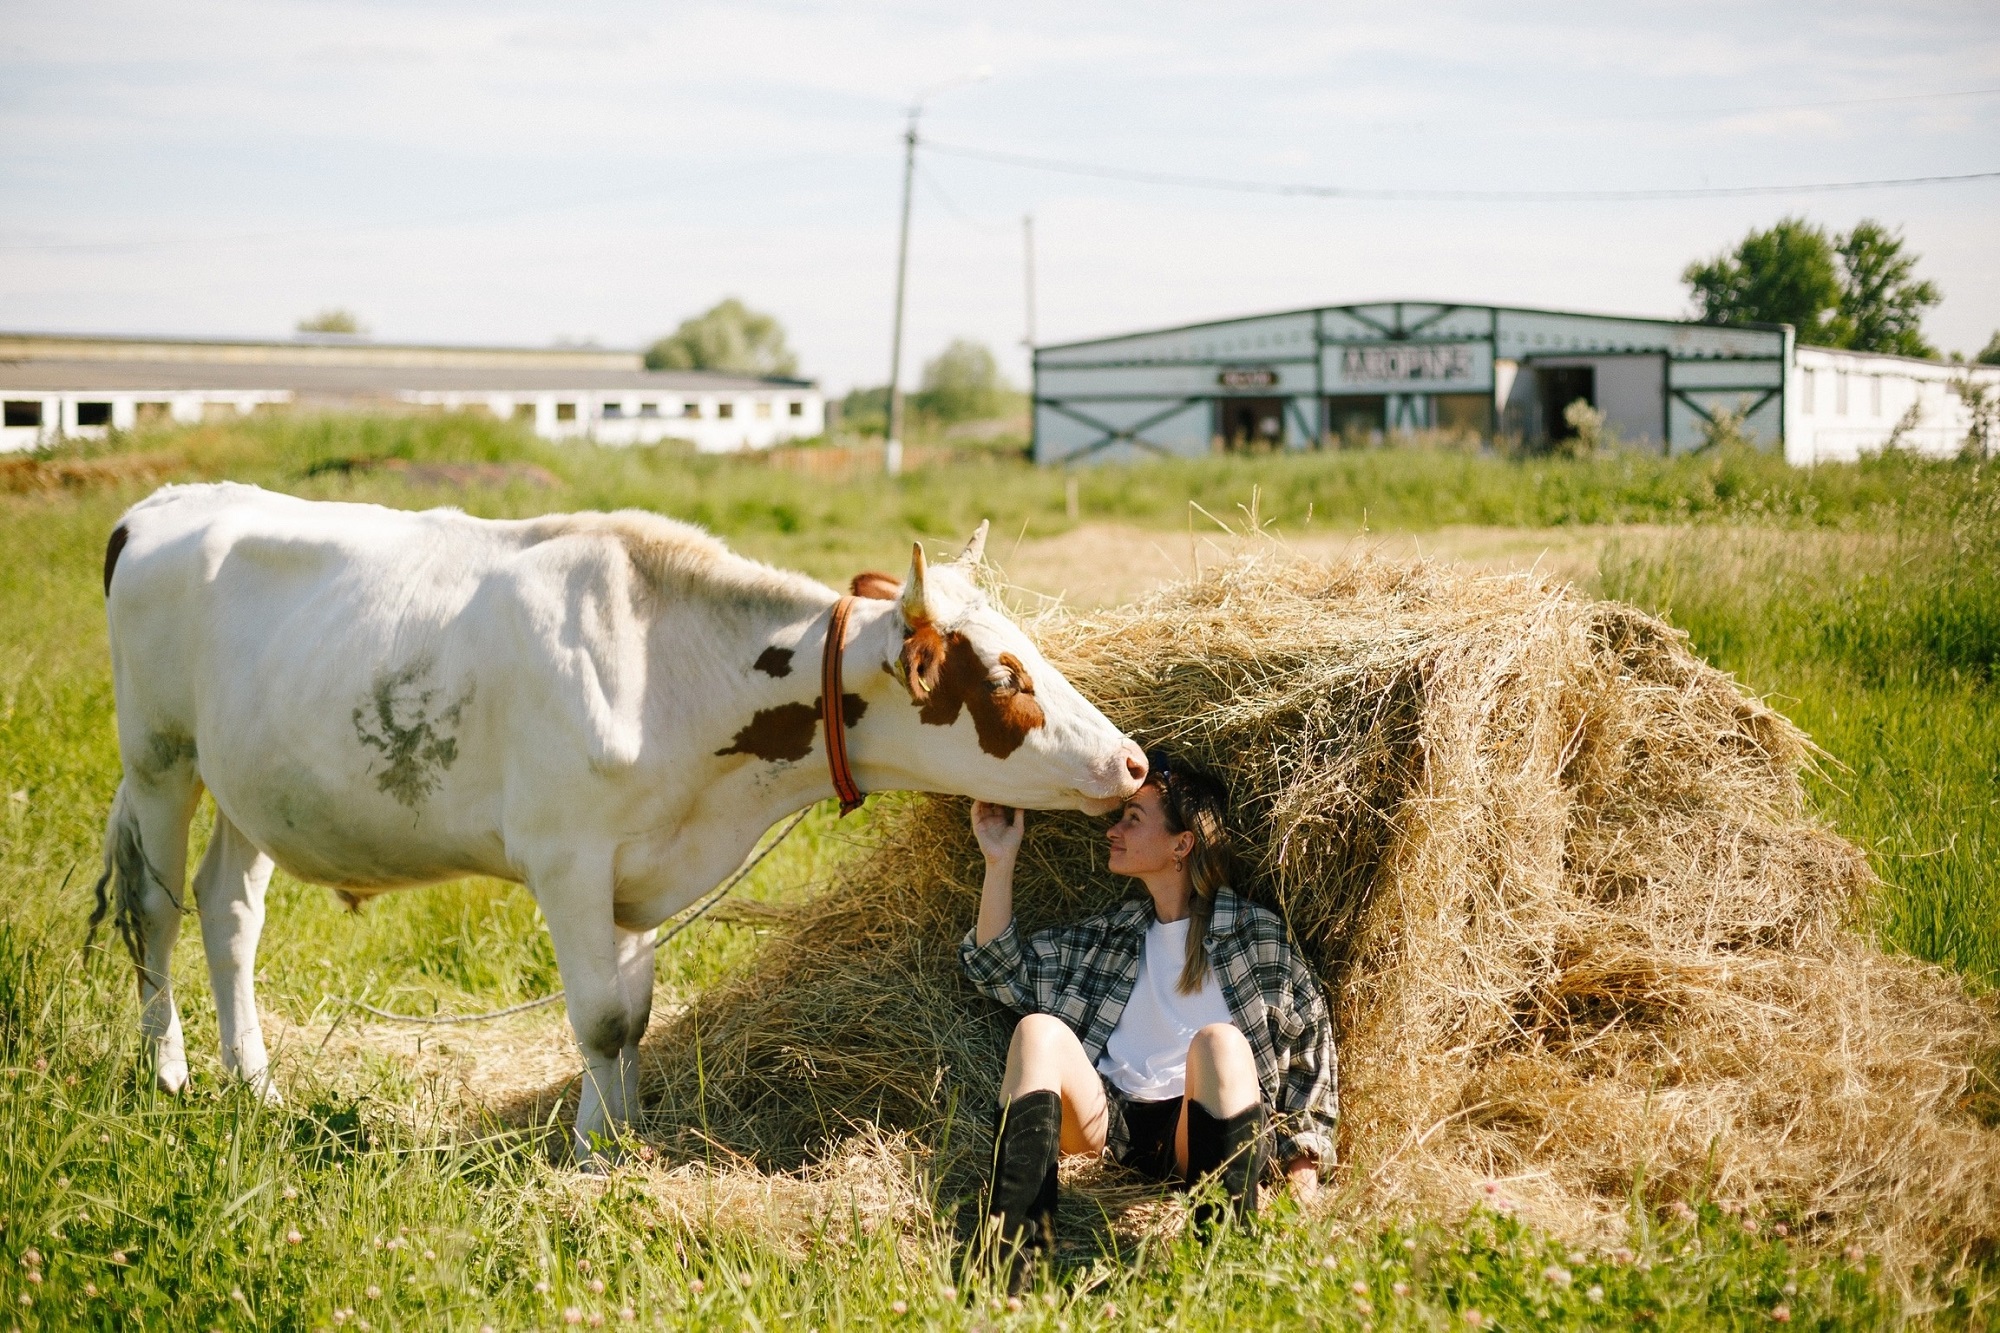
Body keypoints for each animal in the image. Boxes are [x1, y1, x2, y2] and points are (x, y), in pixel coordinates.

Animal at [94, 482, 1152, 1160]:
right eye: (1006, 676)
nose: (1134, 761)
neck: (671, 672)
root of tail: (164, 505)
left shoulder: (641, 870)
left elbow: (636, 1014)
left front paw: (628, 1132)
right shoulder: (567, 857)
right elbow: (600, 1018)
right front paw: (592, 1152)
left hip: (248, 782)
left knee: (229, 910)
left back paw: (254, 1080)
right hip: (158, 755)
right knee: (154, 907)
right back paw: (169, 1072)